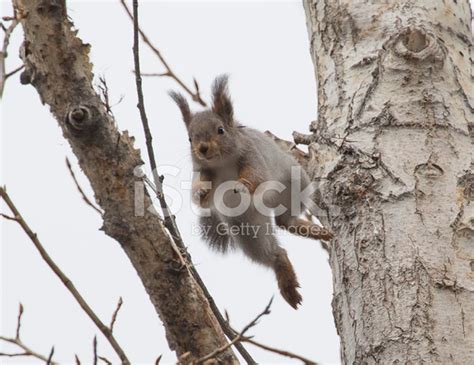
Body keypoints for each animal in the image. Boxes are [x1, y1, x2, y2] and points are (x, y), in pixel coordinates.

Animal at [170, 75, 334, 308]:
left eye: (220, 130)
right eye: (189, 138)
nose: (202, 149)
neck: (223, 162)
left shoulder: (253, 156)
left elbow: (257, 177)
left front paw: (242, 185)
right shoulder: (202, 171)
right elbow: (201, 198)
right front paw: (200, 192)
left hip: (296, 185)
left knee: (286, 221)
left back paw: (313, 230)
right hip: (248, 227)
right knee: (276, 249)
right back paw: (286, 279)